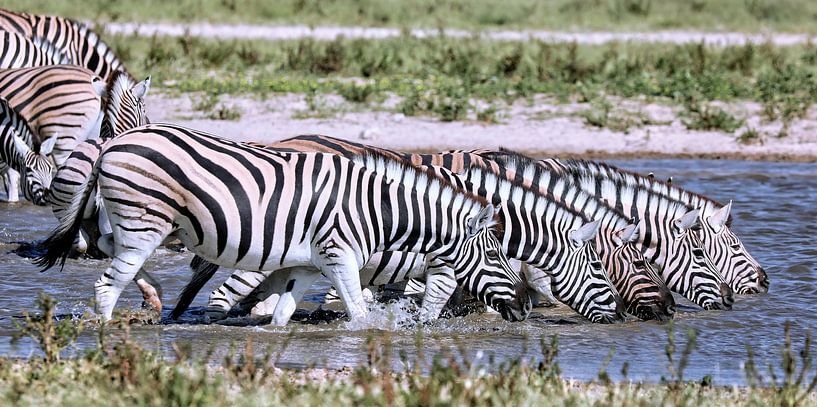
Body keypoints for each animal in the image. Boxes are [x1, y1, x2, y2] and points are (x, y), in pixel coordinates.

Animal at [33, 126, 528, 324]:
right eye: (494, 253)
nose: (524, 310)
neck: (376, 209)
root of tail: (113, 142)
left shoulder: (307, 266)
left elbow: (282, 314)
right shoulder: (339, 257)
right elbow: (359, 314)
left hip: (138, 221)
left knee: (111, 251)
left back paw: (154, 299)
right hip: (145, 219)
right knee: (108, 282)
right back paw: (109, 334)